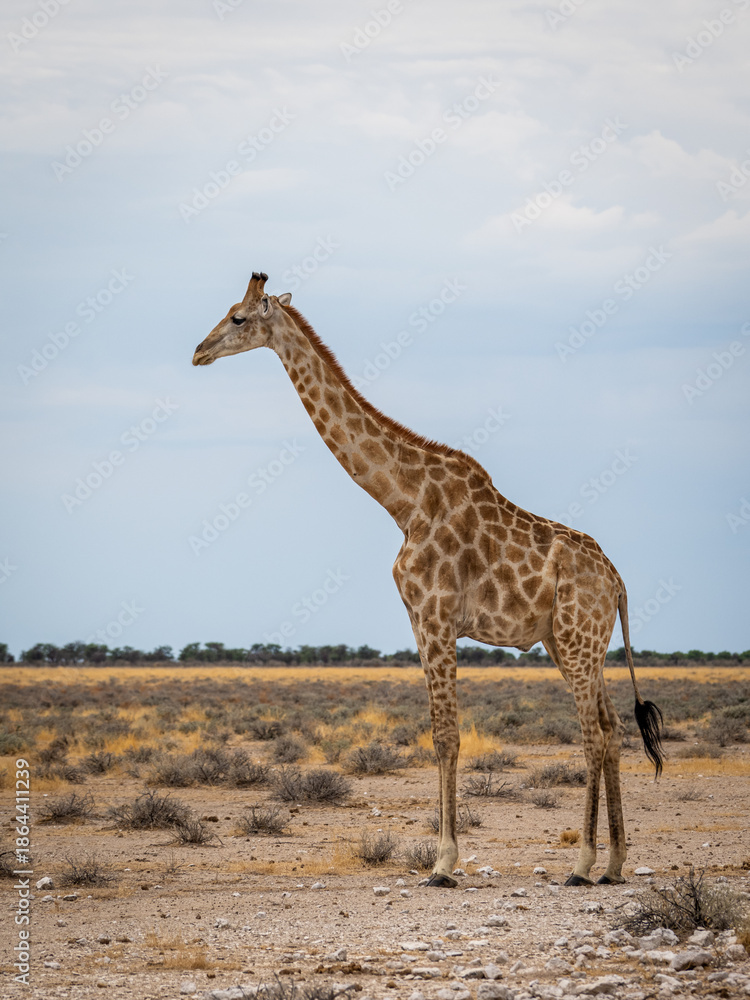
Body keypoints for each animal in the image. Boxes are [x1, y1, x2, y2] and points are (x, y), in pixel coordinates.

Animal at [192, 272, 664, 888]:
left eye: (239, 318)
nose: (198, 352)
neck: (404, 501)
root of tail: (618, 581)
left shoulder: (438, 616)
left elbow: (446, 735)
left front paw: (443, 861)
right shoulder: (418, 620)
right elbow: (438, 732)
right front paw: (444, 855)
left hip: (579, 639)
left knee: (594, 732)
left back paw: (583, 863)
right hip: (573, 643)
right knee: (611, 728)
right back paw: (614, 862)